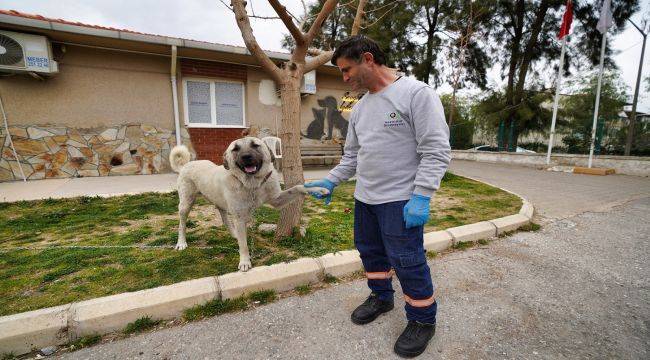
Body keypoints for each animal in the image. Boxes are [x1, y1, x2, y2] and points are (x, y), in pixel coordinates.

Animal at [168, 136, 330, 272]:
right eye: (235, 149)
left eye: (255, 145)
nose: (246, 157)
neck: (252, 185)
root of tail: (186, 165)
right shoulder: (240, 217)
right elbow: (244, 245)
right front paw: (245, 262)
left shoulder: (276, 200)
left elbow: (298, 187)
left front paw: (318, 189)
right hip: (186, 204)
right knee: (182, 224)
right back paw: (181, 243)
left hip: (220, 203)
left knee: (224, 217)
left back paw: (234, 233)